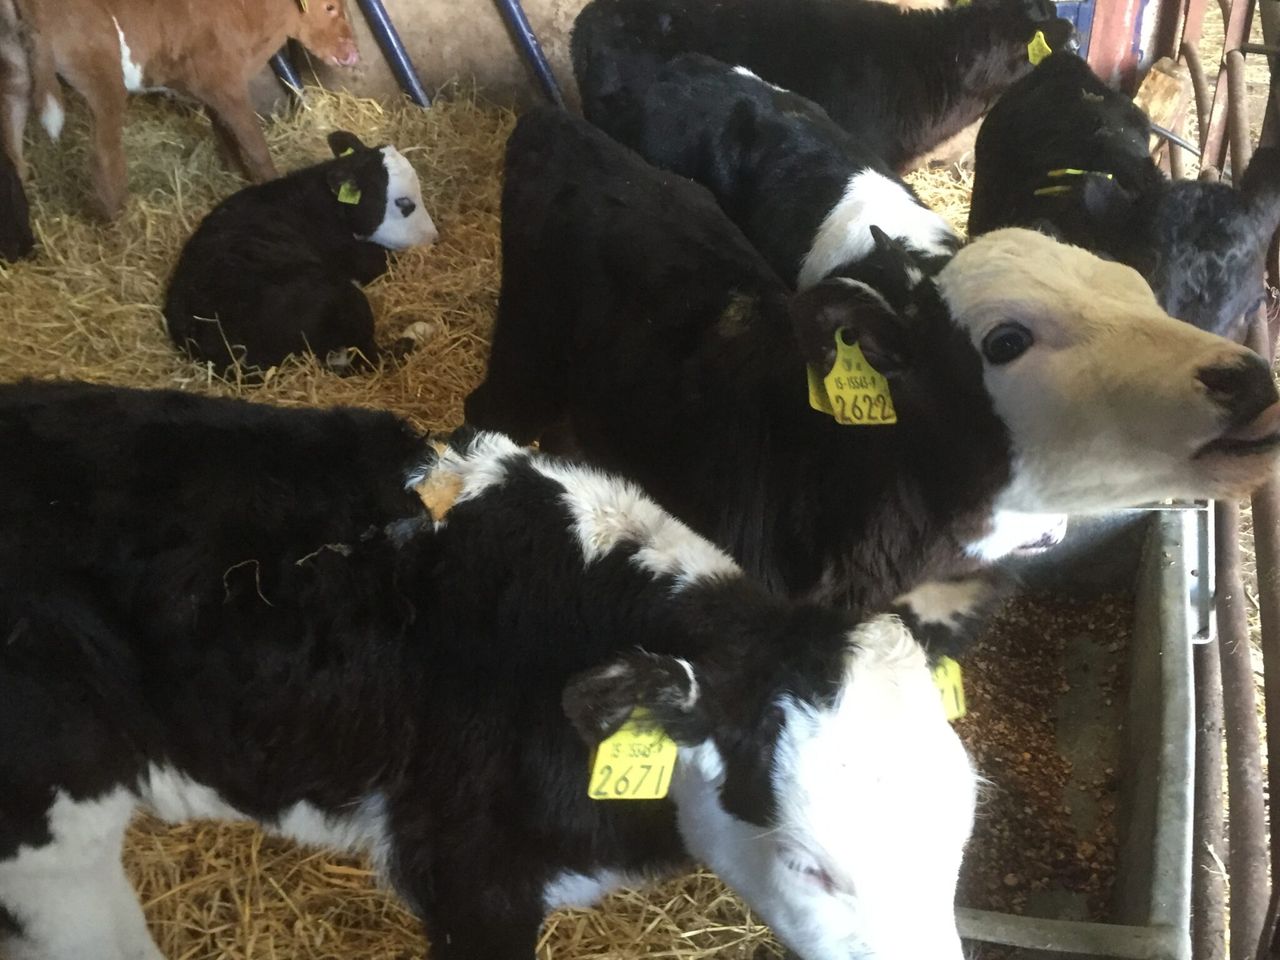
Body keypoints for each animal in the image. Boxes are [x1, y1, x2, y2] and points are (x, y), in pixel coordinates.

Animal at [2, 0, 360, 219]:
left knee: (13, 150)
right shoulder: (226, 84)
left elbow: (224, 133)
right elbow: (255, 144)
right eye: (330, 7)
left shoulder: (213, 88)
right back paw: (121, 226)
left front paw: (235, 172)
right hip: (102, 80)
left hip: (15, 74)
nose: (353, 53)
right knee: (104, 158)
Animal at [164, 130, 438, 375]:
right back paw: (419, 331)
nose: (434, 237)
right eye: (404, 203)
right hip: (342, 297)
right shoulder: (361, 259)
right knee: (370, 358)